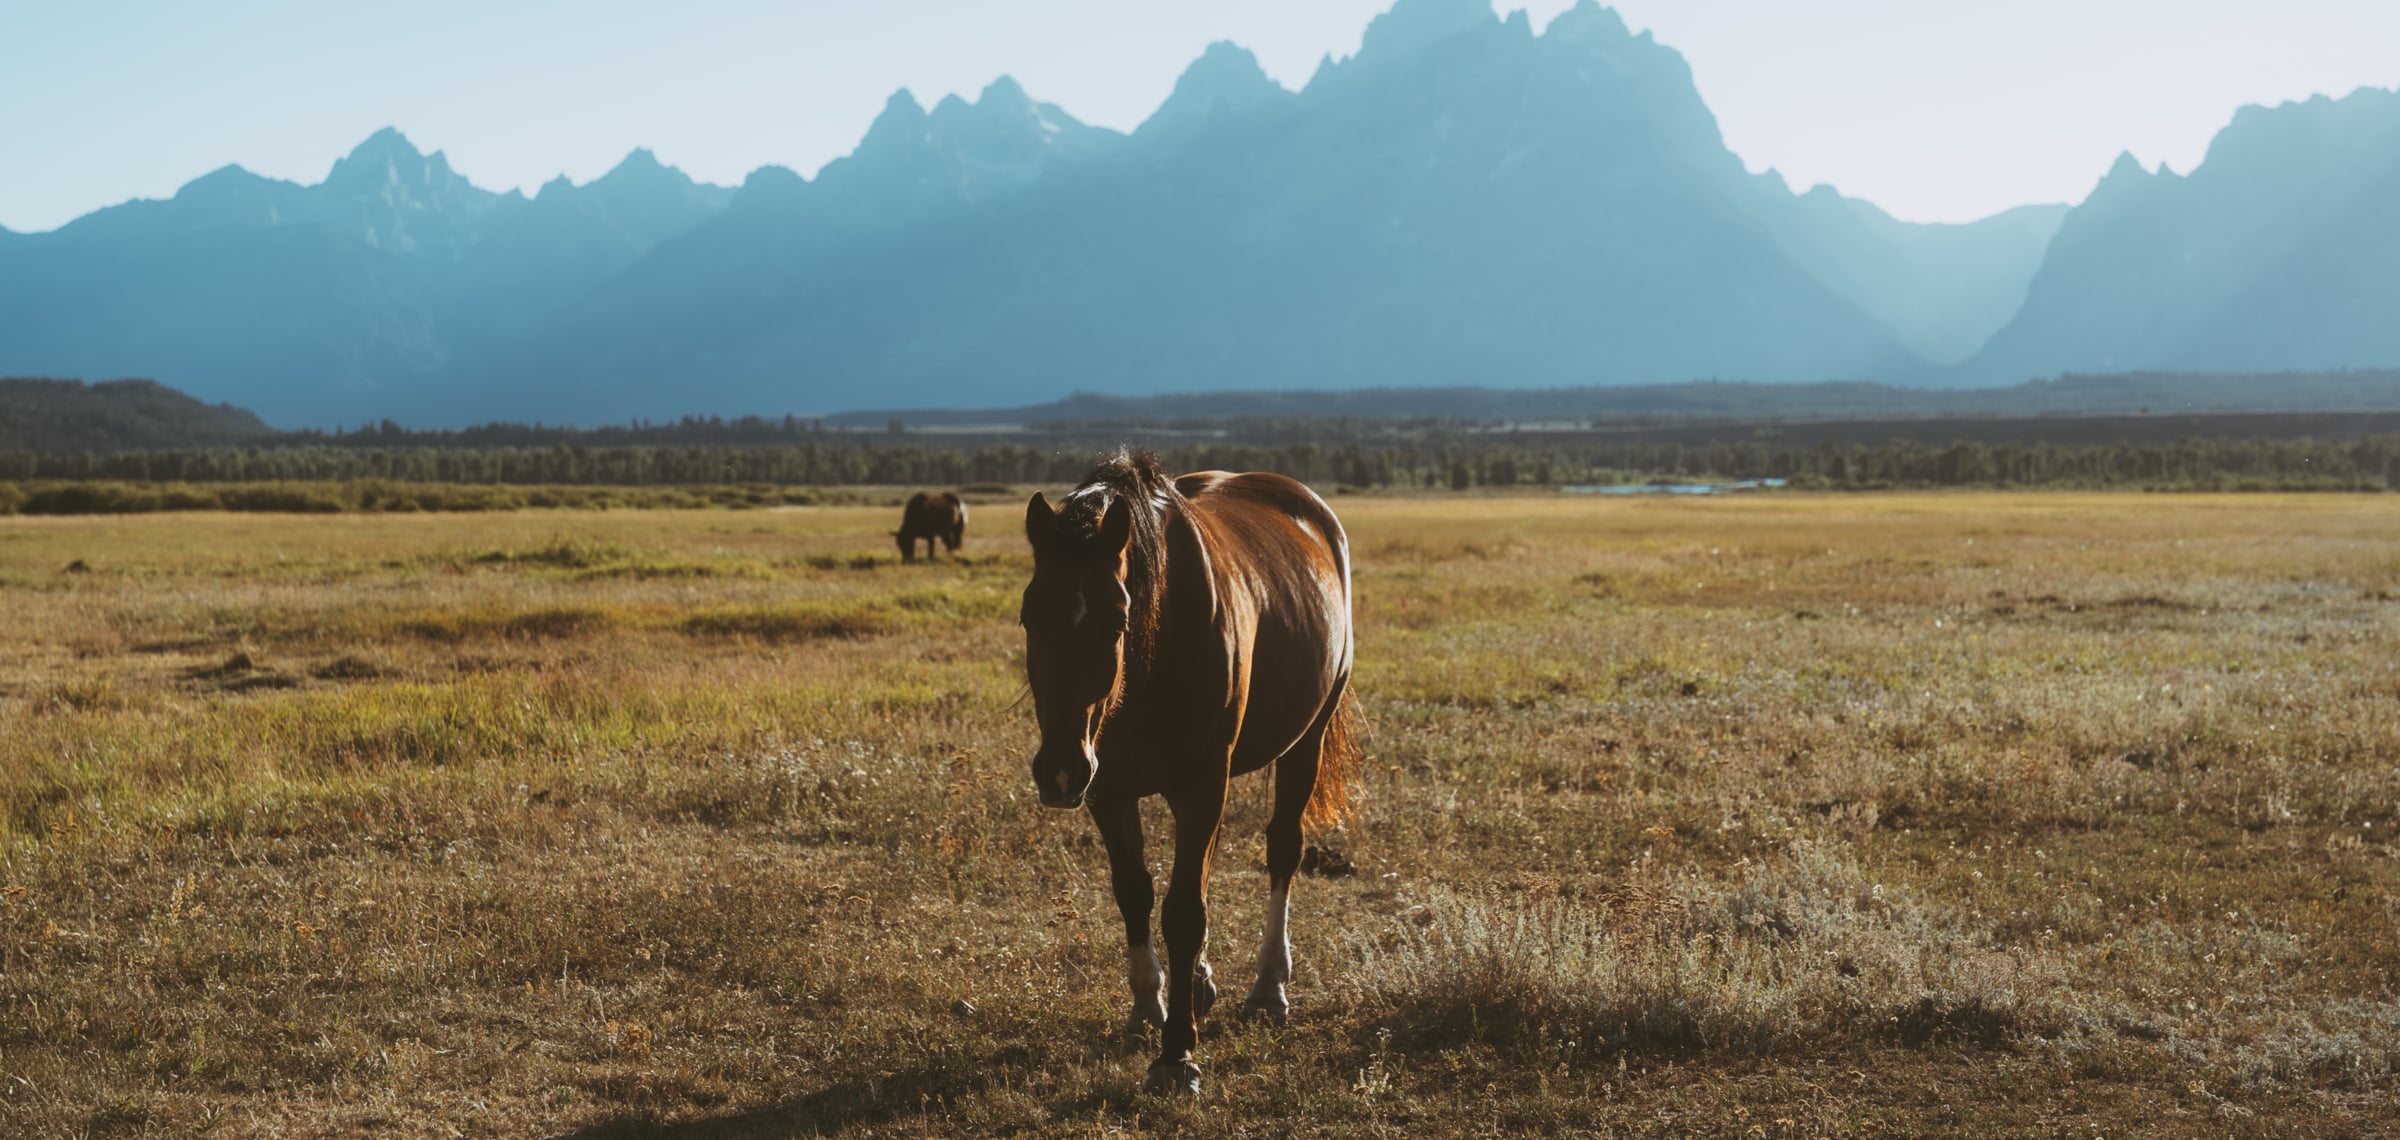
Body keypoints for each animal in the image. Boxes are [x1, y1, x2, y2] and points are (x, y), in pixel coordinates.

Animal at [1019, 450, 1357, 1096]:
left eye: (1117, 620)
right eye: (1029, 618)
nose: (1059, 772)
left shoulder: (1202, 784)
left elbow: (1183, 911)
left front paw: (1176, 1055)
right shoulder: (1108, 790)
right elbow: (1135, 894)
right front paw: (1149, 1008)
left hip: (1306, 740)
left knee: (1283, 850)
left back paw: (1269, 987)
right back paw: (1199, 983)